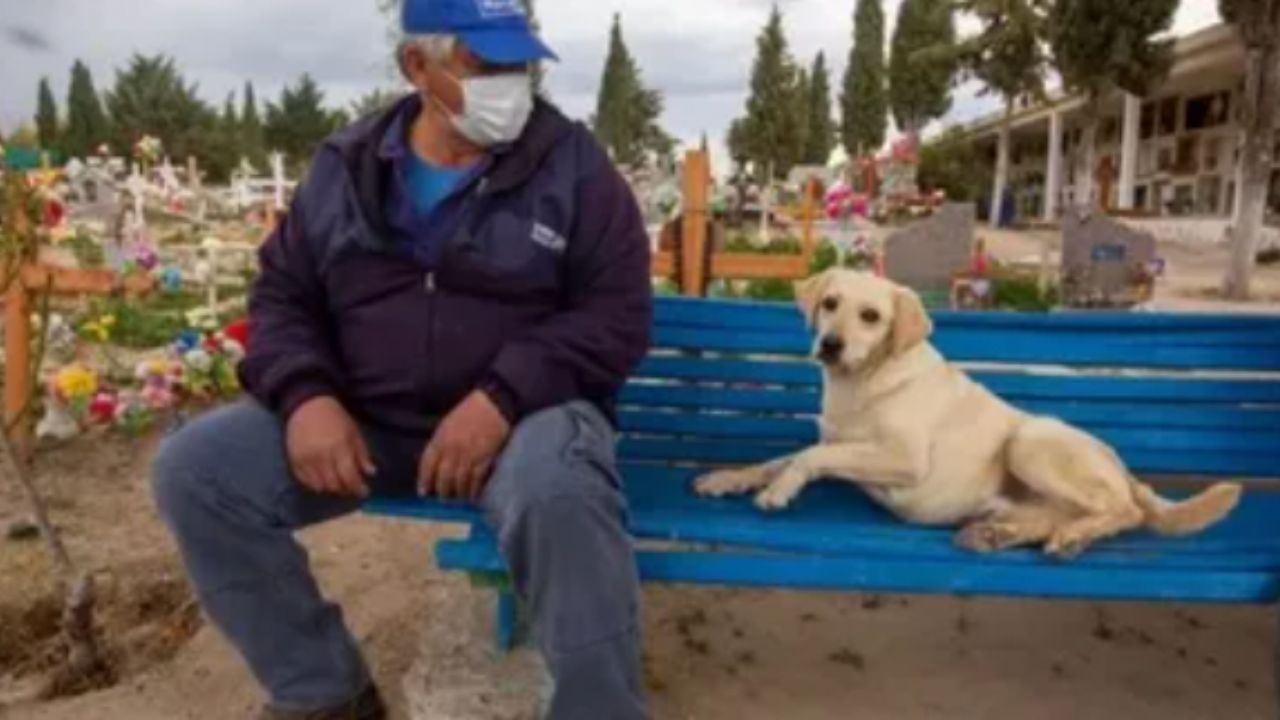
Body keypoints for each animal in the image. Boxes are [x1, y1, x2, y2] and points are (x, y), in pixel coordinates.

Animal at [696, 269, 1244, 556]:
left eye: (870, 316)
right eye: (830, 303)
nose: (830, 344)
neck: (862, 384)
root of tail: (1124, 469)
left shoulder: (903, 459)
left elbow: (807, 459)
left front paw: (778, 492)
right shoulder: (836, 441)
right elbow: (783, 458)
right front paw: (730, 477)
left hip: (1030, 440)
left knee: (1125, 512)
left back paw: (1071, 536)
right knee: (1060, 516)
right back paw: (1001, 534)